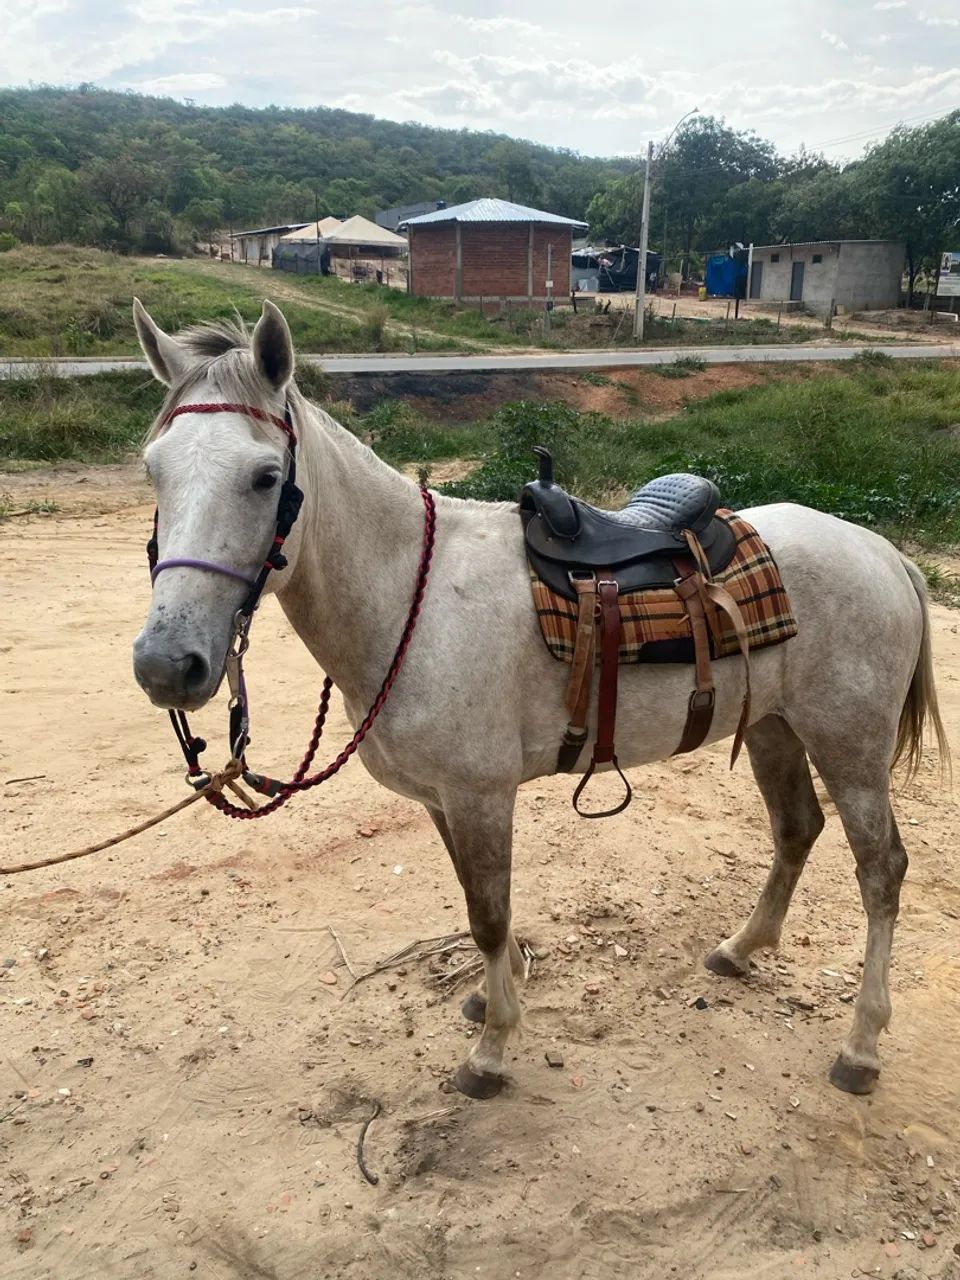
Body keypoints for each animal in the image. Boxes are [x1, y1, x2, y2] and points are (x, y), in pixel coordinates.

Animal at [131, 298, 949, 1101]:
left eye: (266, 477)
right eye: (153, 471)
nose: (166, 665)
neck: (413, 597)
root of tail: (880, 550)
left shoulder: (481, 794)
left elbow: (489, 917)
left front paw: (492, 1050)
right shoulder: (445, 800)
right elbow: (475, 901)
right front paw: (492, 998)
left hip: (849, 746)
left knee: (882, 870)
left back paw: (861, 1045)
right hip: (776, 727)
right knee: (796, 829)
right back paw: (742, 948)